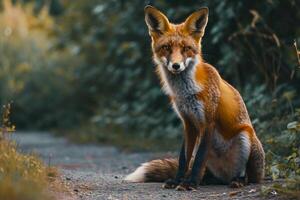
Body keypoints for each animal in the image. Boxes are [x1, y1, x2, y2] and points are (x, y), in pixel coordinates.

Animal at [124, 5, 264, 191]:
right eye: (166, 47)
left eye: (186, 48)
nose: (176, 65)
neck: (186, 93)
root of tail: (225, 176)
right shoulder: (188, 122)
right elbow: (184, 158)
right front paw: (178, 180)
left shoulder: (208, 122)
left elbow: (197, 159)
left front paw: (189, 183)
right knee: (211, 175)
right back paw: (206, 180)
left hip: (245, 136)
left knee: (247, 176)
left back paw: (237, 180)